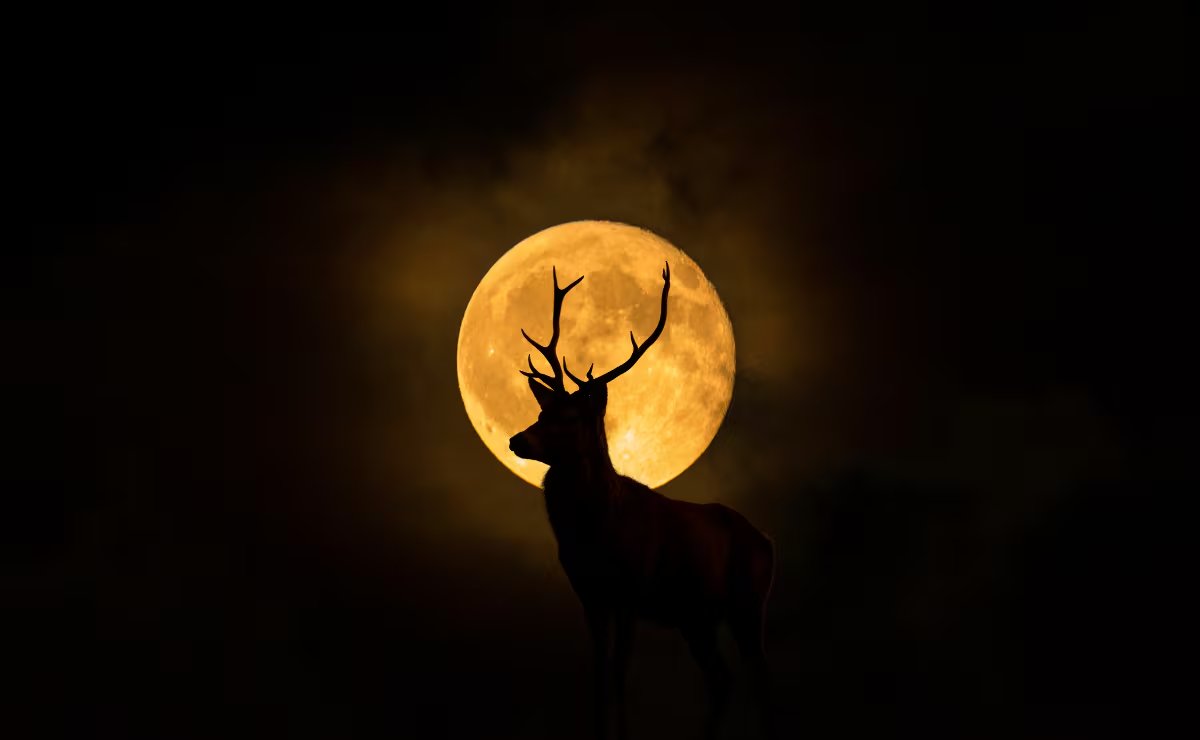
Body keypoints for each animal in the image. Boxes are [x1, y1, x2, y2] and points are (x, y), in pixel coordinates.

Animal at [508, 262, 776, 740]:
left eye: (570, 417)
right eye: (541, 412)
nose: (516, 440)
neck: (597, 530)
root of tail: (768, 542)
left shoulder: (631, 587)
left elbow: (619, 672)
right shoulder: (590, 592)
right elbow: (599, 672)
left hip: (748, 602)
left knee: (760, 681)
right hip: (696, 617)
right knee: (722, 678)